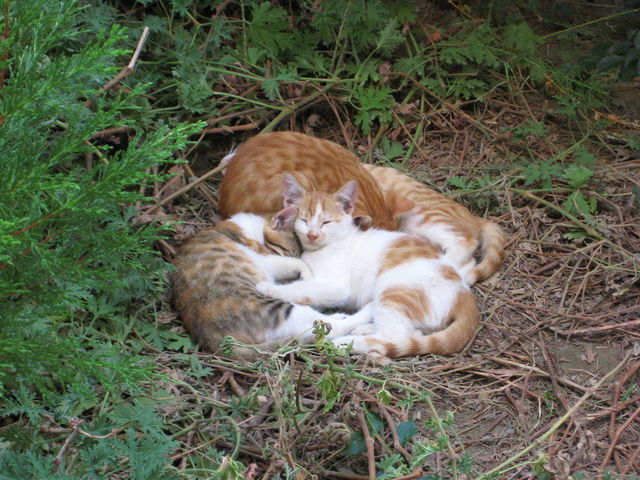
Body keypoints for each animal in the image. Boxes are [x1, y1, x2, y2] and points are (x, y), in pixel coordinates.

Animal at [171, 211, 370, 356]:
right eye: (286, 251)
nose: (287, 281)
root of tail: (215, 341)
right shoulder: (264, 257)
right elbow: (297, 263)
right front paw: (306, 275)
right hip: (276, 310)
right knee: (326, 328)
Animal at [256, 176, 480, 360]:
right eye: (303, 220)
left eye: (326, 222)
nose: (312, 234)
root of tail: (464, 294)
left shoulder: (336, 285)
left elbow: (302, 289)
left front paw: (270, 288)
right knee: (410, 332)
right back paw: (364, 328)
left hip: (396, 289)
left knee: (393, 335)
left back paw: (346, 343)